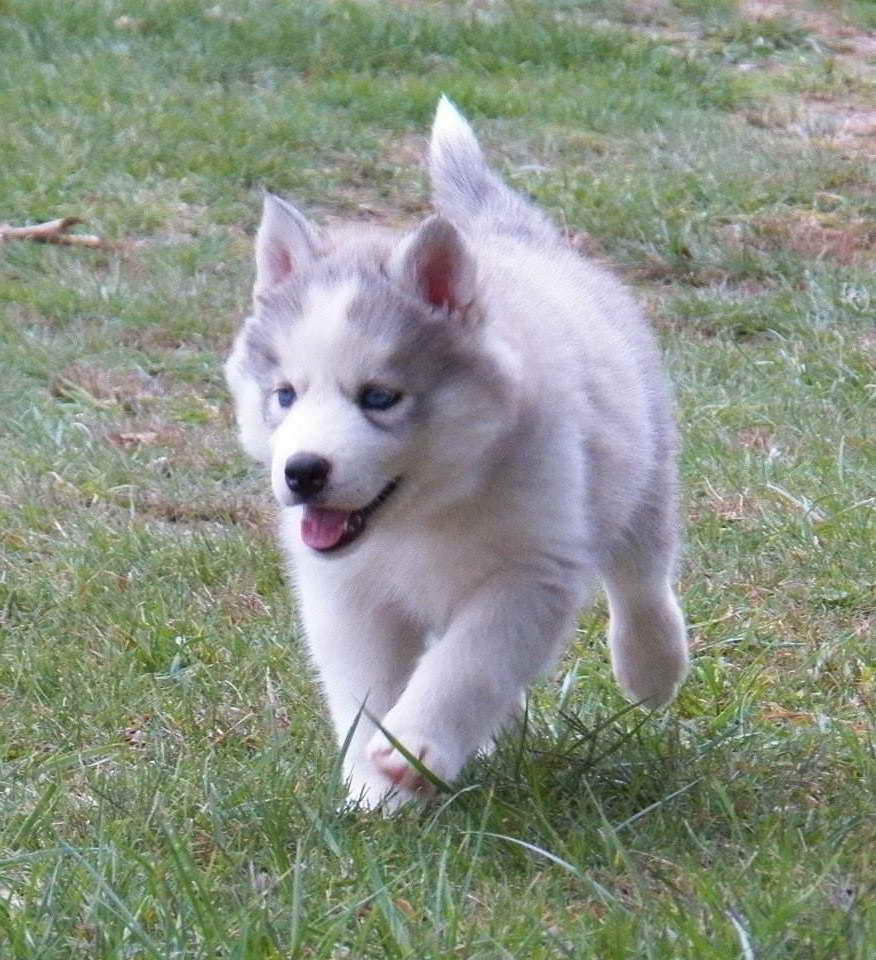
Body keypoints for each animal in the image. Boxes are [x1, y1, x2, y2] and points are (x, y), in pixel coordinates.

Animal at [222, 97, 688, 808]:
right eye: (284, 395)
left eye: (379, 397)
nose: (301, 473)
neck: (423, 517)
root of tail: (511, 234)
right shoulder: (348, 594)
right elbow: (366, 689)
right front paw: (373, 788)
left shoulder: (531, 572)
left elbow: (469, 665)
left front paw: (412, 748)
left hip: (642, 472)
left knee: (642, 578)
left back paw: (653, 666)